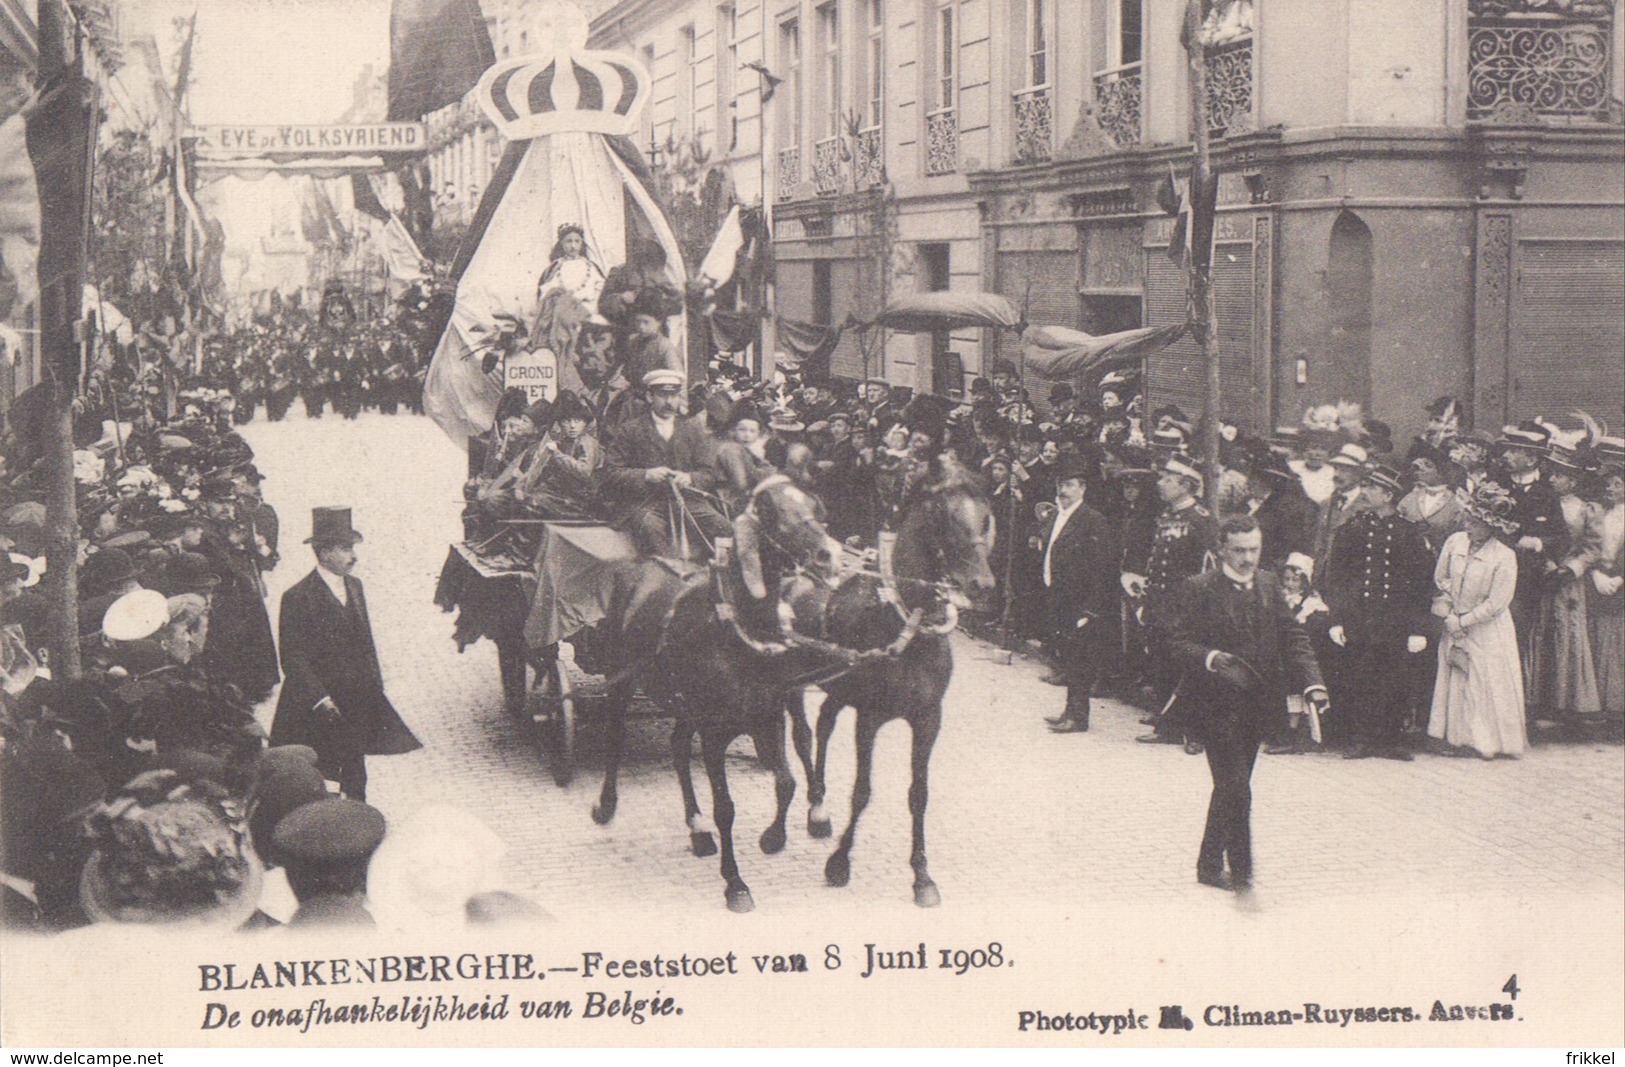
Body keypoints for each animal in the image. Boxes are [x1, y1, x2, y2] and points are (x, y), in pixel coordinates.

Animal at [588, 470, 838, 909]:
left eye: (815, 507)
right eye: (774, 515)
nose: (826, 555)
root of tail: (638, 568)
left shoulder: (768, 715)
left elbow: (786, 780)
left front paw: (774, 837)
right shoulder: (714, 732)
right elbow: (726, 807)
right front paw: (735, 883)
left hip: (685, 704)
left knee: (676, 746)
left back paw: (697, 828)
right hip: (621, 680)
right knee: (616, 736)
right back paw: (607, 805)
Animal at [793, 457, 994, 909]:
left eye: (986, 516)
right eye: (944, 515)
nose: (983, 584)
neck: (907, 626)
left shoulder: (928, 719)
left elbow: (918, 795)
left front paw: (922, 876)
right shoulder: (869, 717)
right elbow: (862, 791)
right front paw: (839, 863)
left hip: (837, 687)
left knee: (824, 724)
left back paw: (818, 807)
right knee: (801, 734)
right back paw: (813, 807)